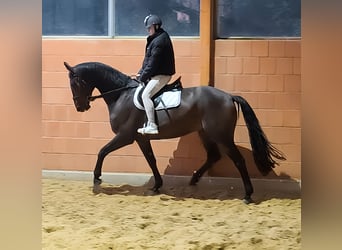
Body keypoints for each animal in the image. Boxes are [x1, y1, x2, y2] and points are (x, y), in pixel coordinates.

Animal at [64, 60, 286, 203]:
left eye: (75, 82)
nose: (80, 107)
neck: (121, 95)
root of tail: (229, 96)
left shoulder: (125, 137)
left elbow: (102, 151)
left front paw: (97, 179)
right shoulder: (141, 138)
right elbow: (151, 160)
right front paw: (156, 186)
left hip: (221, 136)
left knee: (238, 160)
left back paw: (247, 195)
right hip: (205, 134)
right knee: (213, 156)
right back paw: (194, 179)